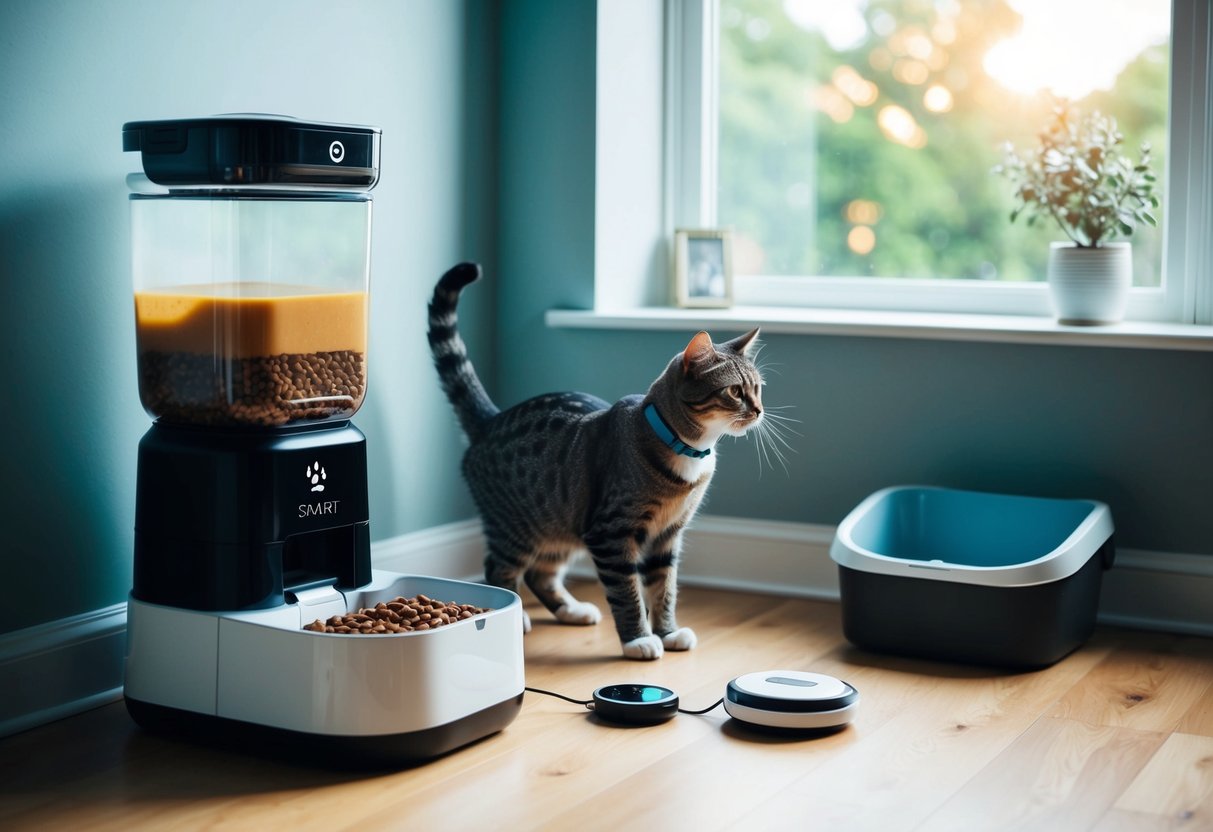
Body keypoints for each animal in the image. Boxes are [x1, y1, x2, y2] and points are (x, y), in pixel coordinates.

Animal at [431, 264, 761, 659]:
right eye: (735, 391)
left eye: (758, 388)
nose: (759, 410)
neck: (685, 449)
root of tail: (491, 420)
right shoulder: (610, 533)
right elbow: (627, 592)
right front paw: (638, 639)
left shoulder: (668, 535)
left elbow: (663, 588)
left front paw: (667, 631)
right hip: (516, 526)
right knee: (499, 570)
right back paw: (515, 619)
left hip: (558, 522)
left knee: (540, 574)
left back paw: (572, 610)